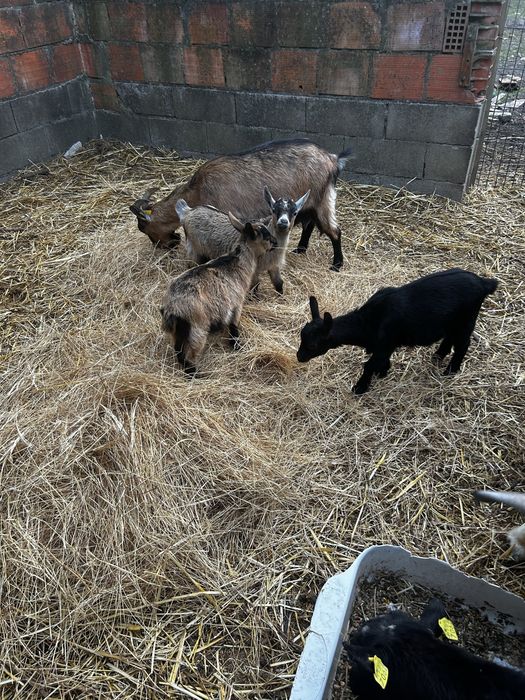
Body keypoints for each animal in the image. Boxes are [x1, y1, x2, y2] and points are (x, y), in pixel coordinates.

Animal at [129, 139, 352, 270]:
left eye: (143, 228)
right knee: (310, 224)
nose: (163, 245)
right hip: (309, 204)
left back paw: (337, 264)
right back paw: (300, 249)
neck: (198, 190)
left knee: (334, 231)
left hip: (323, 200)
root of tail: (333, 159)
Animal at [160, 217, 276, 374]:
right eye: (266, 236)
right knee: (188, 355)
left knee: (178, 351)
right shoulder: (236, 303)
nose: (276, 242)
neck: (237, 262)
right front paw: (237, 346)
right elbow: (233, 327)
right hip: (197, 329)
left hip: (177, 332)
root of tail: (171, 308)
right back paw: (196, 374)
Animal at [175, 187, 309, 295]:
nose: (283, 222)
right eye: (273, 210)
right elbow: (255, 286)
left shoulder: (274, 266)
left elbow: (279, 283)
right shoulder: (253, 269)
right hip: (194, 250)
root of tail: (187, 211)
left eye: (295, 213)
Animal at [296, 269, 498, 394]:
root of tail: (484, 283)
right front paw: (383, 372)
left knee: (463, 344)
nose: (299, 357)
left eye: (313, 345)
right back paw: (438, 355)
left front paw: (359, 388)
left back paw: (450, 370)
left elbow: (369, 365)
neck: (368, 322)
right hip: (452, 321)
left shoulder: (385, 343)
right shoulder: (385, 346)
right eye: (301, 336)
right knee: (449, 337)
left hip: (466, 320)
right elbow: (380, 361)